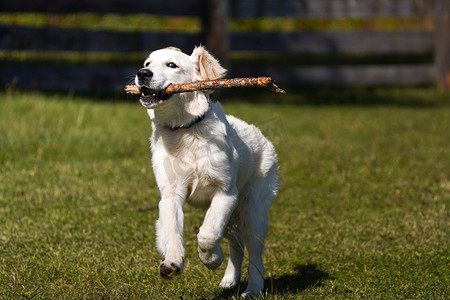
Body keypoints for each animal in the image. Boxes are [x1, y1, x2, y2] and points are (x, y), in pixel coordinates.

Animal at [135, 45, 280, 296]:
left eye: (171, 65)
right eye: (147, 63)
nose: (142, 74)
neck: (185, 131)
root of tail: (262, 136)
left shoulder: (226, 192)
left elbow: (207, 233)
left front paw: (212, 259)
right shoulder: (170, 194)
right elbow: (172, 231)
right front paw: (172, 263)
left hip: (252, 211)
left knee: (255, 255)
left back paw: (252, 289)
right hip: (234, 217)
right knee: (237, 244)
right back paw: (230, 280)